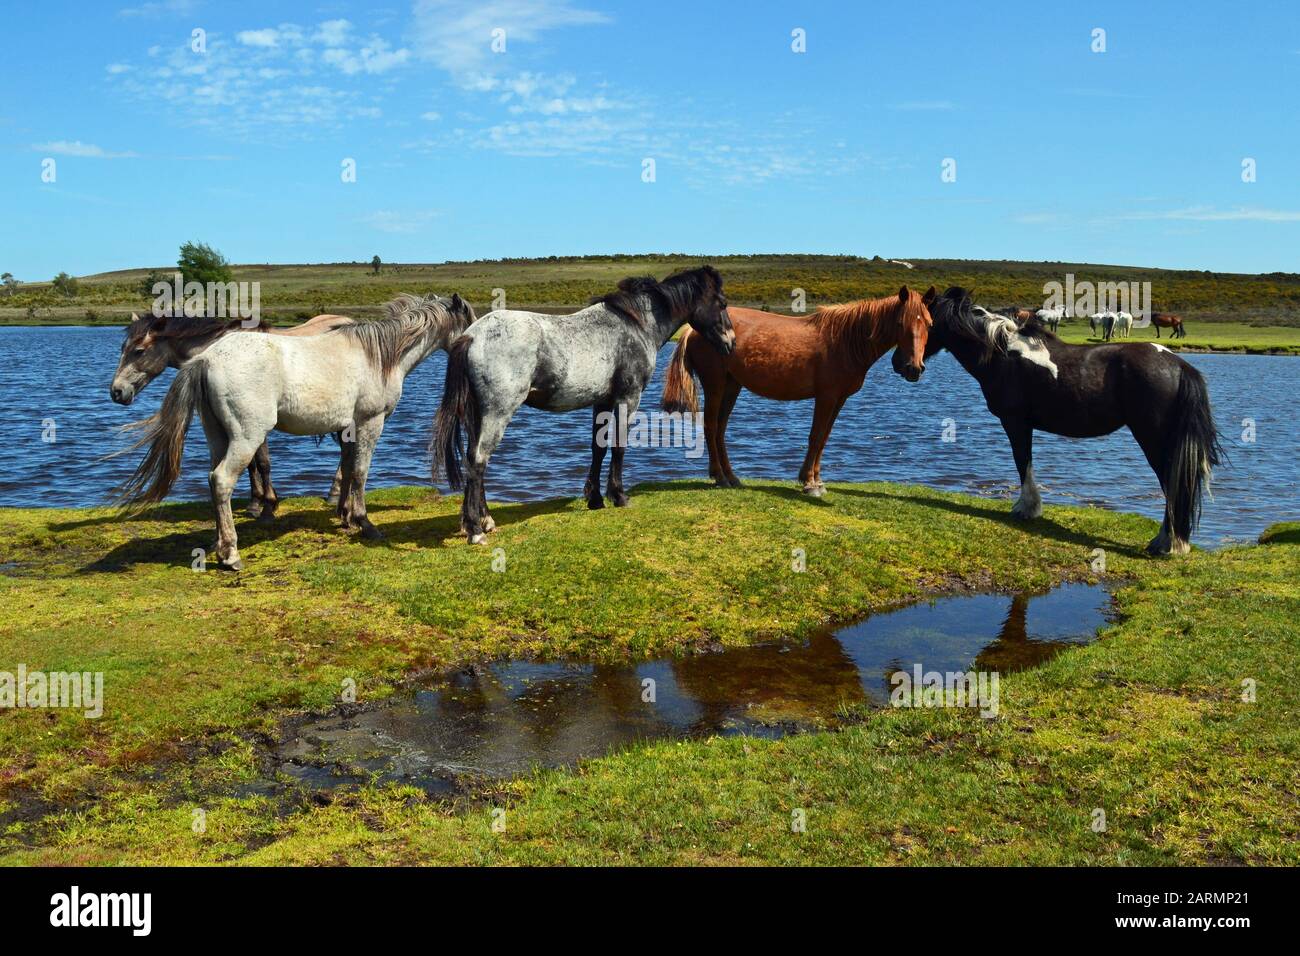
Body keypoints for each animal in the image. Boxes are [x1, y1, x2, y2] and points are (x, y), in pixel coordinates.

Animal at [113, 293, 478, 567]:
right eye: (471, 320)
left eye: (138, 350)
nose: (116, 392)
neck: (379, 355)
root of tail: (207, 359)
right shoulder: (370, 422)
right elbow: (360, 472)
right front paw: (364, 523)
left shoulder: (348, 427)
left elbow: (347, 469)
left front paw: (344, 516)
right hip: (247, 437)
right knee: (222, 480)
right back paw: (231, 554)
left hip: (218, 437)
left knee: (214, 482)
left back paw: (220, 544)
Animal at [660, 283, 935, 494]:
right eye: (900, 323)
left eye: (929, 324)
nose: (913, 368)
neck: (845, 341)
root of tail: (692, 330)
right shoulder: (826, 397)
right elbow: (815, 435)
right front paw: (810, 483)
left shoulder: (839, 399)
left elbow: (824, 437)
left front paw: (816, 479)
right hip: (715, 384)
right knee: (710, 427)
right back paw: (720, 477)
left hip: (731, 386)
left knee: (720, 429)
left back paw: (731, 477)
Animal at [925, 286, 1216, 554]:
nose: (912, 366)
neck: (1003, 353)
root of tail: (1179, 365)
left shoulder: (1015, 422)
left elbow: (1023, 462)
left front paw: (1026, 508)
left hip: (1154, 439)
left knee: (1172, 483)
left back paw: (1168, 543)